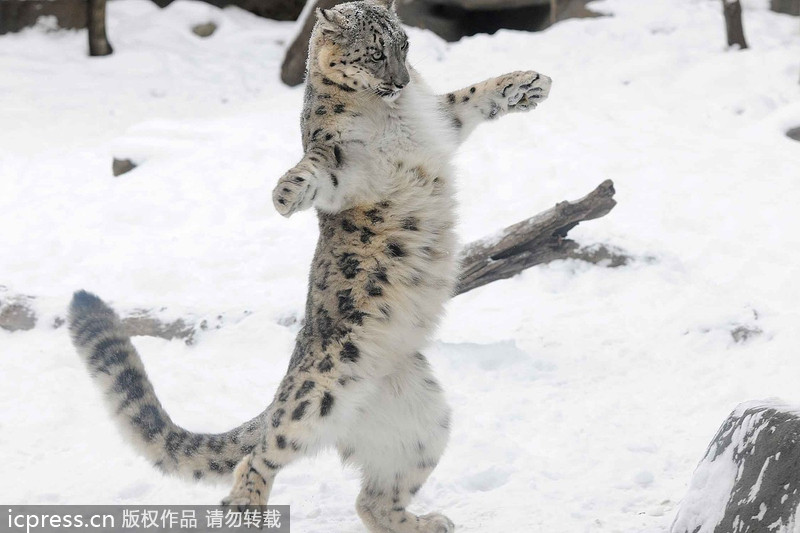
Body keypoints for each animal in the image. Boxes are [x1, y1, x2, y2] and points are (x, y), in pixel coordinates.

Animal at [68, 1, 551, 531]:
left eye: (405, 45)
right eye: (375, 53)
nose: (401, 81)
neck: (391, 111)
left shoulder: (439, 120)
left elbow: (467, 98)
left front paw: (526, 83)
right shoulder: (347, 166)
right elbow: (321, 166)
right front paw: (286, 191)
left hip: (425, 422)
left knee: (372, 499)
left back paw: (425, 523)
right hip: (320, 386)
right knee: (260, 452)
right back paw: (248, 508)